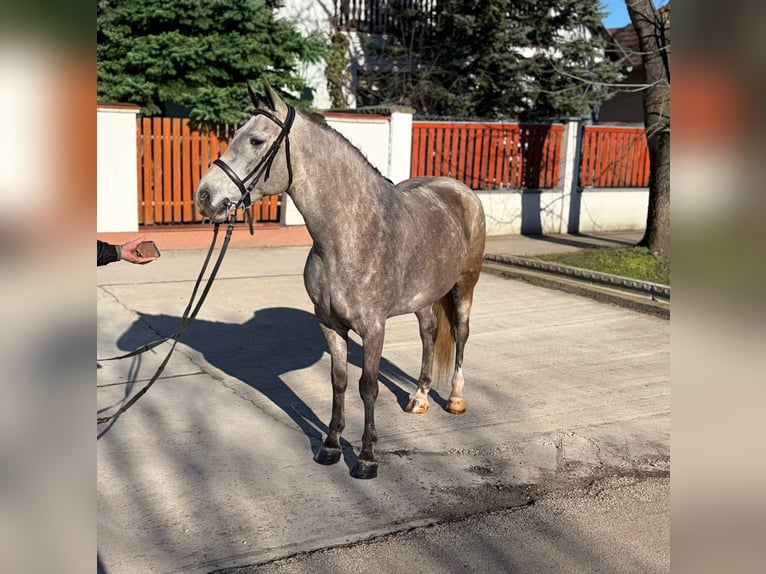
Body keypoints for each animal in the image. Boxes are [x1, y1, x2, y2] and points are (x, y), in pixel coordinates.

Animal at [195, 82, 486, 479]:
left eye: (255, 140)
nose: (204, 196)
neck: (346, 236)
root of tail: (458, 188)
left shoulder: (374, 328)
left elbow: (368, 387)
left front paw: (366, 458)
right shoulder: (330, 324)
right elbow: (339, 382)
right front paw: (331, 445)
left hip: (465, 285)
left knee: (461, 334)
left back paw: (455, 398)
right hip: (424, 296)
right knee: (428, 332)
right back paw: (419, 398)